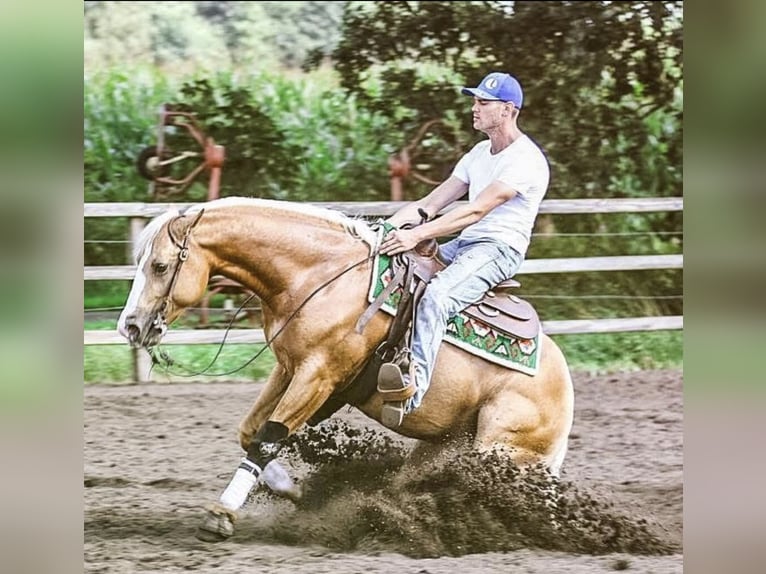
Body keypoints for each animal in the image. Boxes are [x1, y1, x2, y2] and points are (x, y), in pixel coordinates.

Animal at [117, 196, 574, 541]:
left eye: (159, 266)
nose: (131, 326)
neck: (319, 277)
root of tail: (564, 389)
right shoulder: (288, 369)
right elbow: (250, 432)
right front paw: (293, 490)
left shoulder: (318, 377)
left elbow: (268, 438)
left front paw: (221, 514)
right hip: (442, 447)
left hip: (500, 453)